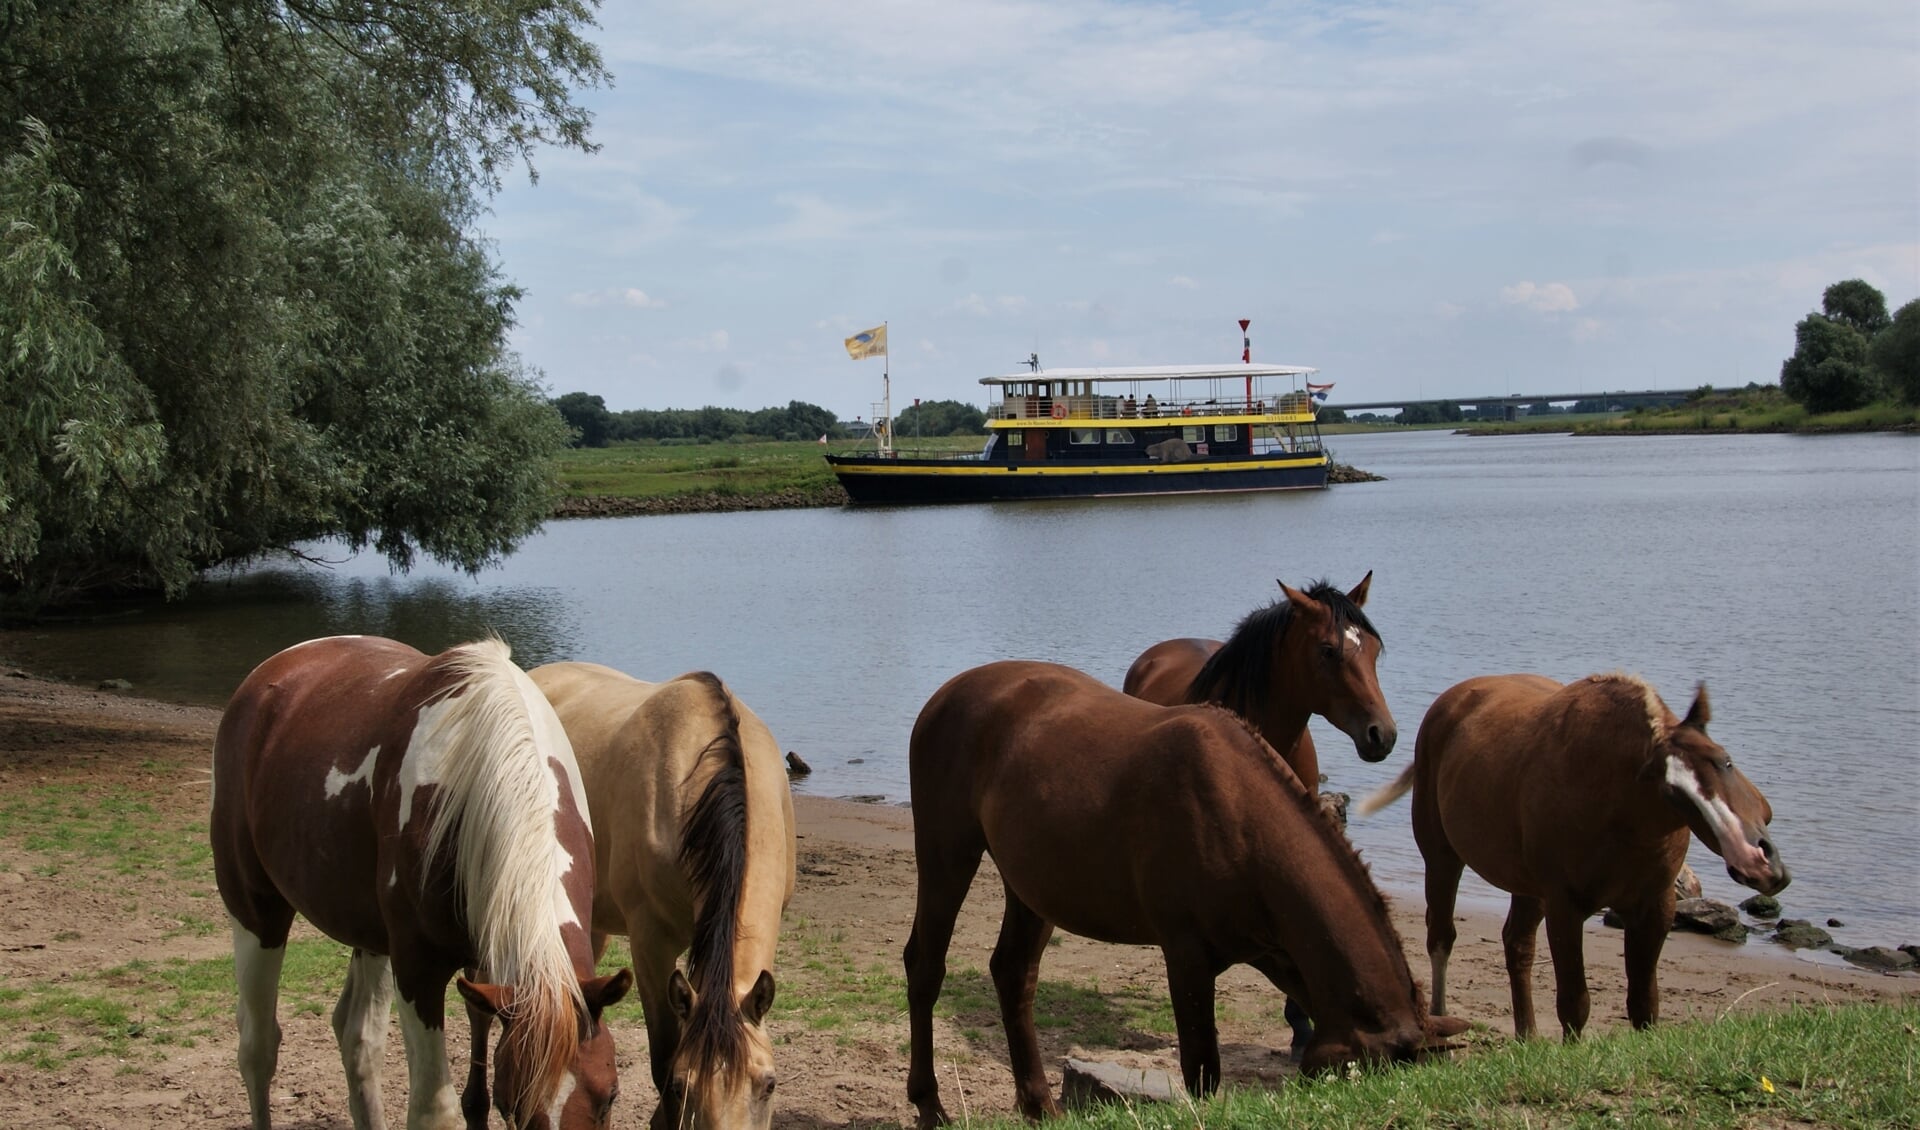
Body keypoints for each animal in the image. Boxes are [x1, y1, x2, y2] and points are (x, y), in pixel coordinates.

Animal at [211, 633, 633, 1128]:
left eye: (610, 1095)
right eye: (513, 1107)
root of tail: (274, 670)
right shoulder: (418, 967)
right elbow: (435, 1110)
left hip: (370, 935)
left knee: (357, 1040)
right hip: (254, 909)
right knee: (258, 1045)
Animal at [906, 656, 1459, 1120]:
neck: (1239, 817)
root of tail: (948, 693)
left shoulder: (1274, 951)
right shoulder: (1188, 955)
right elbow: (1201, 1071)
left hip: (1033, 887)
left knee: (1013, 974)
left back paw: (1039, 1105)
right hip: (947, 854)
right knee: (925, 966)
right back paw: (930, 1105)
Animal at [1359, 671, 1789, 1043]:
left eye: (1725, 761)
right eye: (1673, 793)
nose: (1756, 859)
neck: (1619, 809)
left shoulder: (1656, 906)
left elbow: (1644, 1004)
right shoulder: (1564, 906)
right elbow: (1574, 1003)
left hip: (1526, 888)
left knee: (1517, 946)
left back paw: (1527, 1037)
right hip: (1442, 858)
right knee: (1441, 937)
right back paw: (1442, 1013)